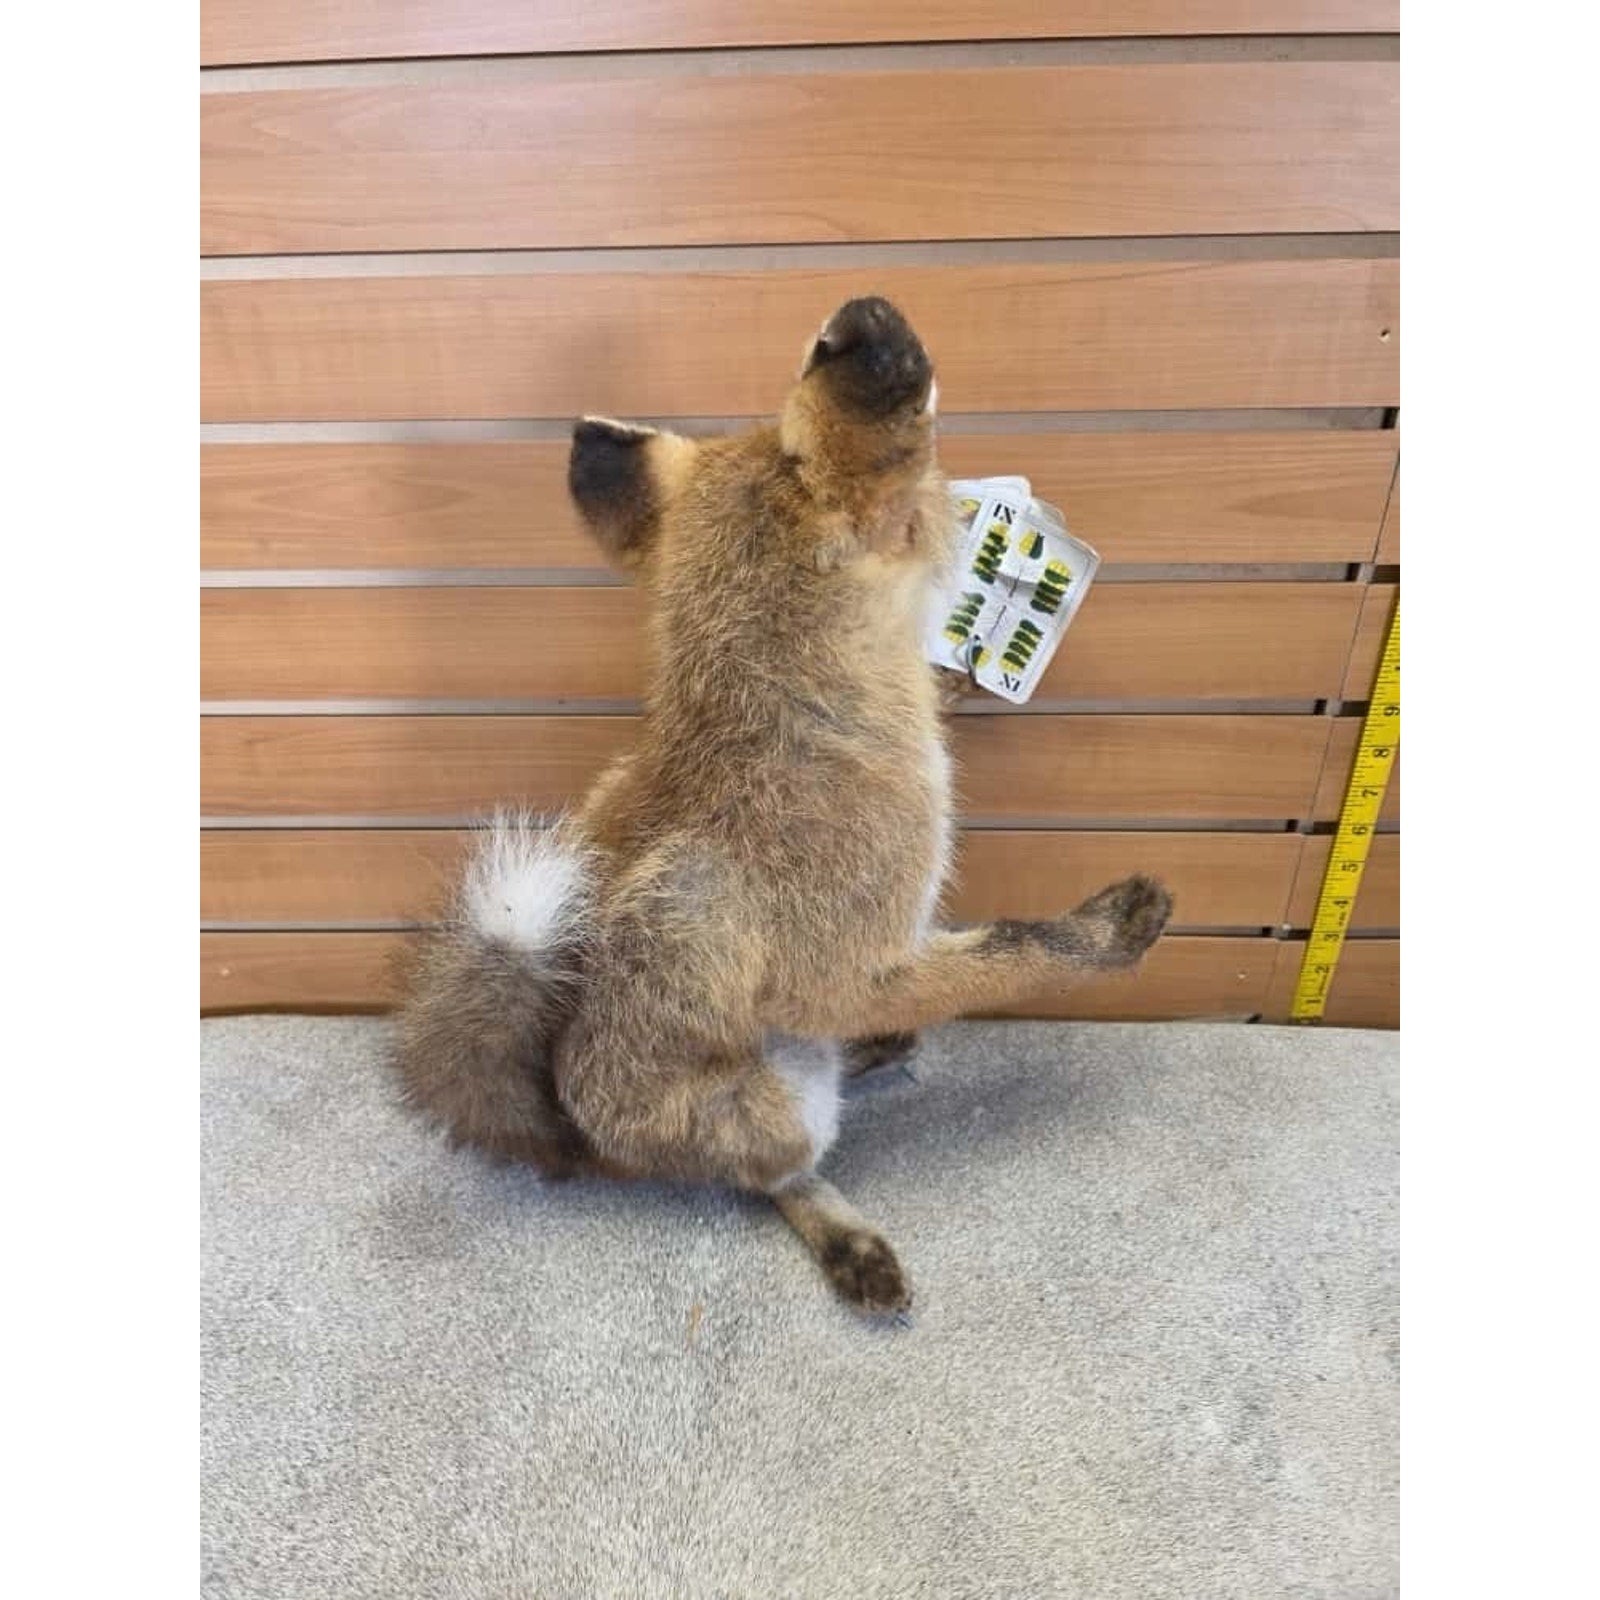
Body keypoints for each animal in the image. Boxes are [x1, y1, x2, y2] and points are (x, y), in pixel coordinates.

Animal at [392, 297, 1172, 1315]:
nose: (864, 314)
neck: (796, 717)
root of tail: (581, 1142)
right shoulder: (851, 965)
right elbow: (1014, 951)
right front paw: (1107, 933)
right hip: (778, 1109)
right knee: (775, 1179)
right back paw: (846, 1232)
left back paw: (870, 1060)